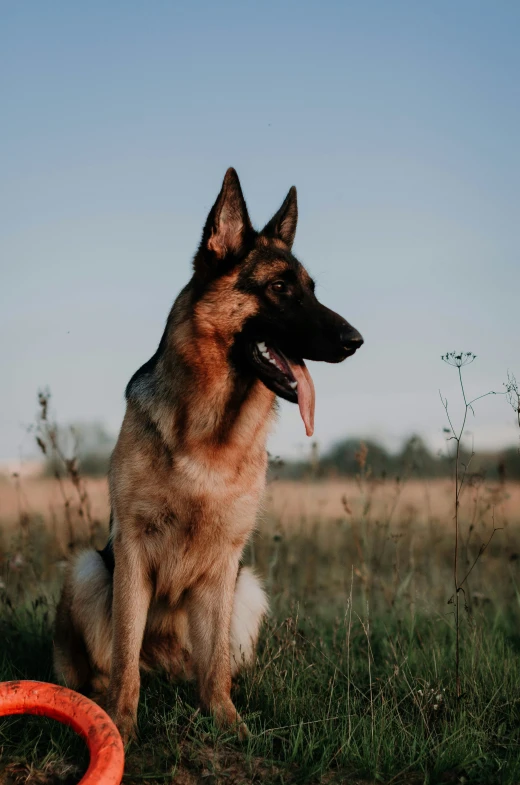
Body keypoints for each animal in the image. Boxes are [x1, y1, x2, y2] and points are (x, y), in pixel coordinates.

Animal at [51, 167, 362, 740]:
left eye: (311, 290)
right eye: (279, 288)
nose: (356, 340)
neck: (209, 432)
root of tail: (167, 668)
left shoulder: (225, 564)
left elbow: (215, 664)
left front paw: (228, 723)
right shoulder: (131, 551)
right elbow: (124, 656)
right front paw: (121, 725)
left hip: (248, 589)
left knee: (208, 662)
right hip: (87, 570)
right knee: (110, 663)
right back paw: (99, 700)